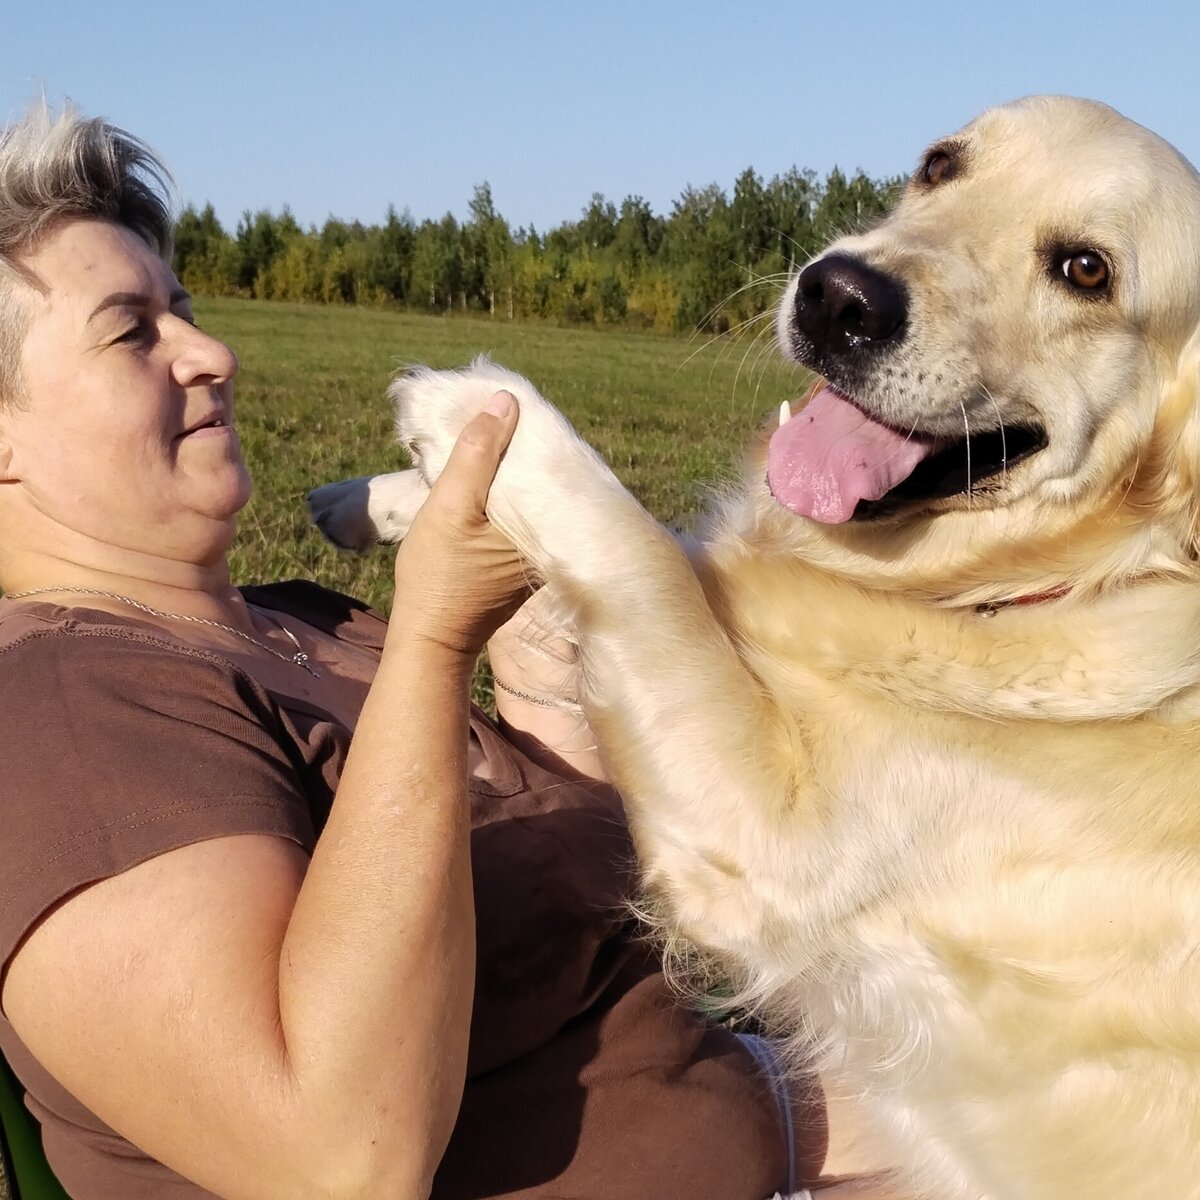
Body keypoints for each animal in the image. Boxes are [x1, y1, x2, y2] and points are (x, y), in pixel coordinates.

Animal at [312, 98, 1200, 1195]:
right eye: (939, 164)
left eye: (1085, 270)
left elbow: (638, 546)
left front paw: (469, 407)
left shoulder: (765, 834)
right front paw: (373, 496)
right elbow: (674, 550)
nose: (839, 296)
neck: (1033, 586)